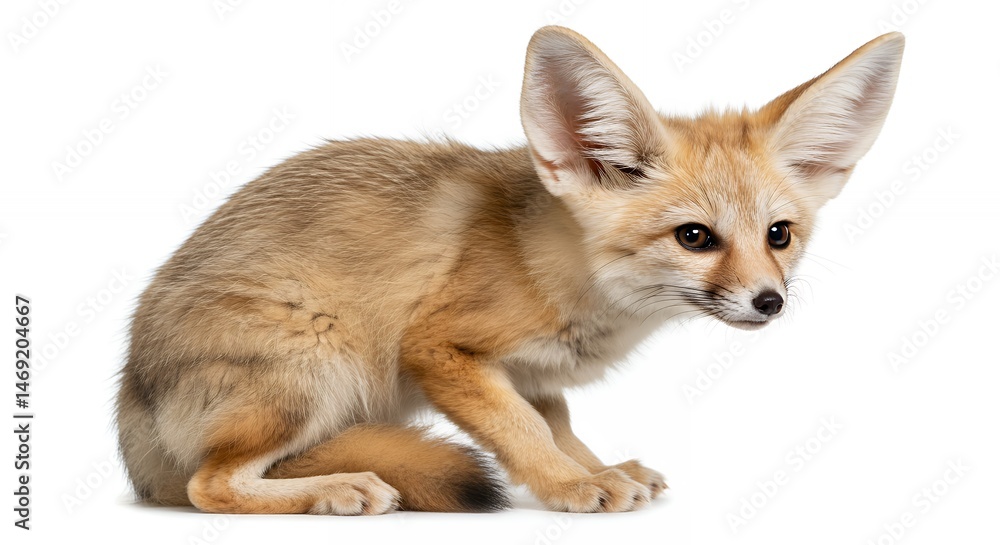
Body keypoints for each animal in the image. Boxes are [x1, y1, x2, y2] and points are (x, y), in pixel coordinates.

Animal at [115, 26, 904, 514]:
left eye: (779, 235)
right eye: (695, 237)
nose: (770, 302)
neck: (558, 272)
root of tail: (131, 402)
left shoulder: (532, 373)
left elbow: (556, 426)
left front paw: (598, 468)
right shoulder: (440, 347)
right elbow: (523, 434)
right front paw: (570, 487)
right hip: (315, 364)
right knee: (208, 486)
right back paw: (335, 490)